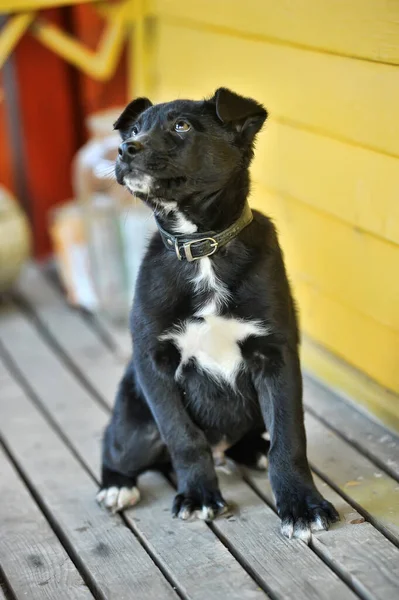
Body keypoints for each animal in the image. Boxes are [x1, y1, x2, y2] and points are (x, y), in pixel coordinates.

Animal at [98, 88, 340, 540]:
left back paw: (254, 450)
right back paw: (117, 486)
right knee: (115, 446)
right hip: (136, 424)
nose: (124, 149)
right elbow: (184, 438)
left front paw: (301, 504)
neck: (202, 248)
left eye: (181, 126)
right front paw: (198, 496)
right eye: (135, 129)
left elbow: (289, 438)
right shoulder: (155, 363)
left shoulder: (274, 356)